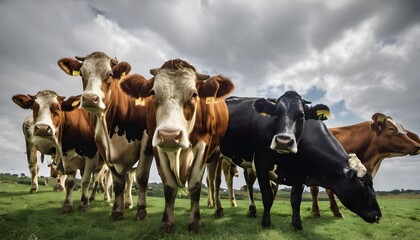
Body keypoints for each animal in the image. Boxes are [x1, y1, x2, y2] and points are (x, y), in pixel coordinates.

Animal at [56, 51, 153, 220]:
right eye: (81, 73)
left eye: (109, 74)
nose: (89, 98)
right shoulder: (103, 148)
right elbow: (118, 181)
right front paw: (117, 211)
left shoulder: (146, 143)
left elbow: (141, 178)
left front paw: (141, 211)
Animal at [120, 59, 235, 233]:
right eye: (153, 93)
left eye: (194, 94)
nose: (169, 135)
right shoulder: (156, 145)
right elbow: (169, 186)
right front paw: (167, 223)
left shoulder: (204, 146)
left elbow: (195, 186)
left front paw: (195, 223)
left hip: (216, 154)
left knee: (215, 182)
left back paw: (219, 209)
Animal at [220, 91, 380, 229]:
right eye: (365, 183)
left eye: (302, 117)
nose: (379, 215)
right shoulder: (261, 165)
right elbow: (267, 196)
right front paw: (266, 223)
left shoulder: (301, 172)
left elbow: (296, 200)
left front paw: (297, 225)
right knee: (216, 181)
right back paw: (218, 209)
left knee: (248, 182)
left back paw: (252, 210)